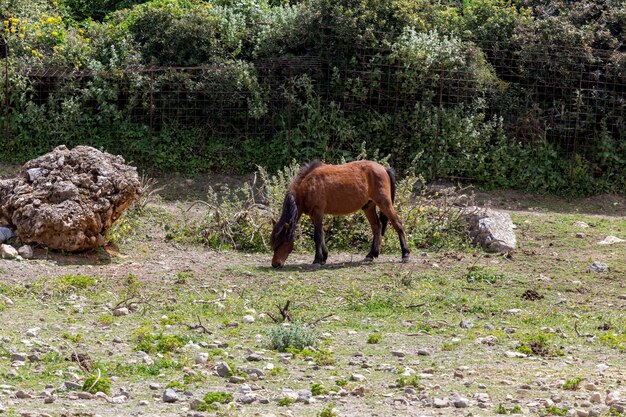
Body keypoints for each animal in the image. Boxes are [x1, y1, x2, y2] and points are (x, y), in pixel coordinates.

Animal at [270, 159, 410, 266]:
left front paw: (317, 260)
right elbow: (321, 236)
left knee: (398, 224)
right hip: (369, 207)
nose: (275, 264)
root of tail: (384, 168)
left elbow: (317, 237)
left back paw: (405, 254)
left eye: (281, 243)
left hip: (384, 203)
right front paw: (324, 257)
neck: (308, 186)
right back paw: (371, 254)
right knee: (377, 227)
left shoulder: (318, 212)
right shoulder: (314, 216)